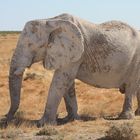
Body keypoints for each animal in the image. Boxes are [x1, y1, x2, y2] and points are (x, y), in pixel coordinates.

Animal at [3, 13, 140, 127]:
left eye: (31, 45)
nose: (7, 118)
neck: (50, 20)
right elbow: (67, 83)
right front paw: (70, 119)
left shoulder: (76, 52)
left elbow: (61, 80)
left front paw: (43, 124)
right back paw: (137, 113)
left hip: (135, 61)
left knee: (130, 86)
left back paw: (125, 117)